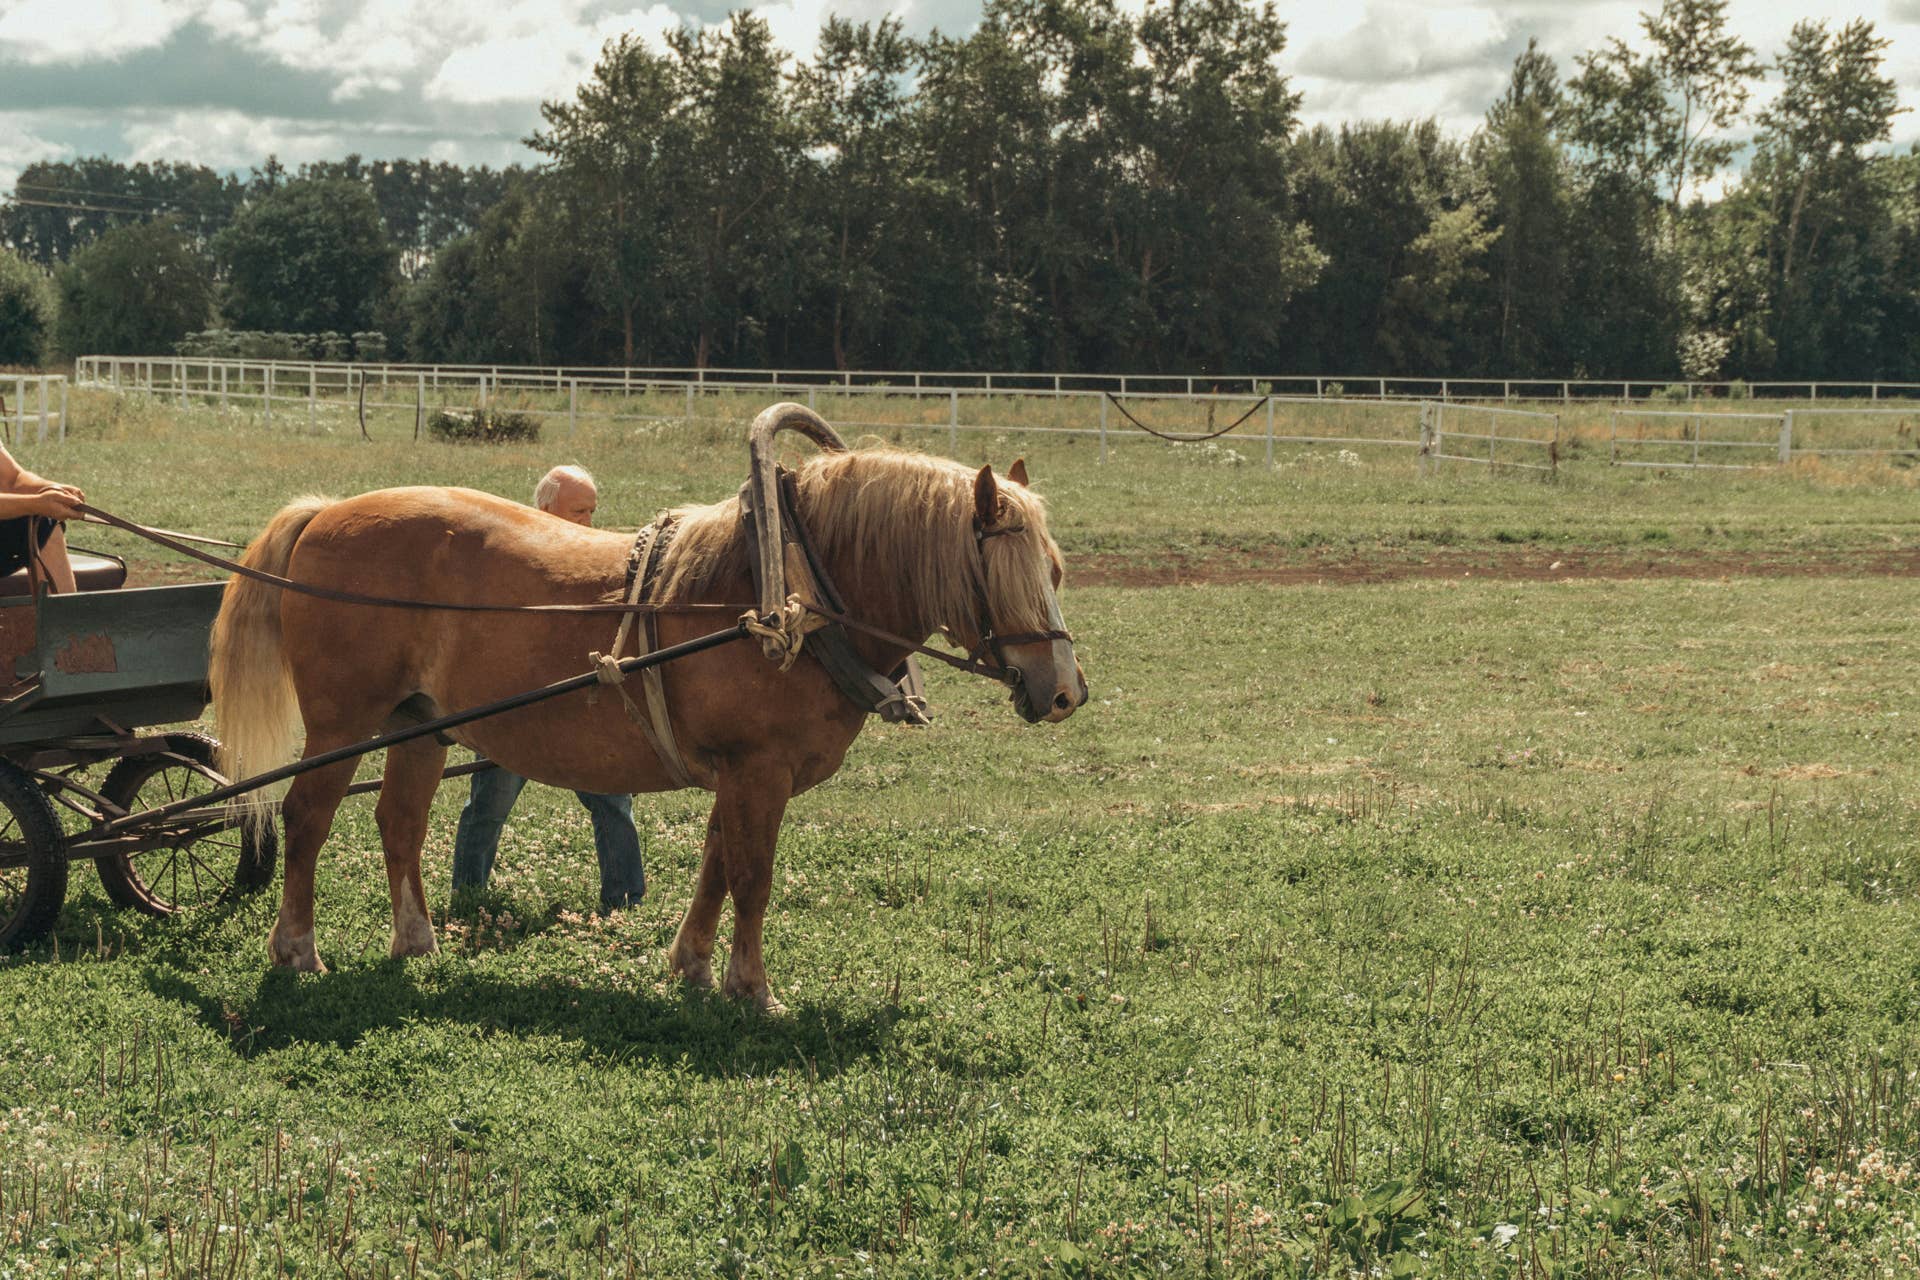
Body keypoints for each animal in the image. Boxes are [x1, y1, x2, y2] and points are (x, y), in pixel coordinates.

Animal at [207, 409, 1086, 1009]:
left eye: (1056, 569)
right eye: (1004, 576)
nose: (1065, 691)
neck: (791, 596)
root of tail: (325, 512)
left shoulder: (738, 773)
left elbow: (717, 865)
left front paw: (692, 966)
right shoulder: (760, 771)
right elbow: (754, 876)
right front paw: (752, 987)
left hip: (419, 721)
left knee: (400, 822)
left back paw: (416, 942)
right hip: (343, 722)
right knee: (308, 818)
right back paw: (297, 949)